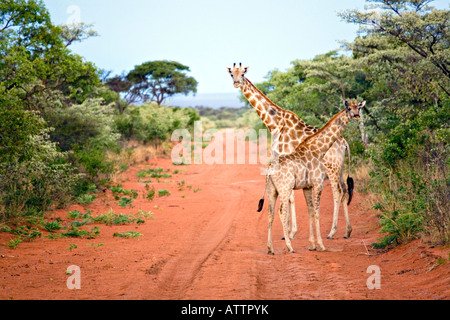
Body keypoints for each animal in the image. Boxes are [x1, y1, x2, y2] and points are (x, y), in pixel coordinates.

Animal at [229, 62, 356, 239]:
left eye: (242, 74)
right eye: (231, 74)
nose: (236, 83)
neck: (275, 125)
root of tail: (344, 143)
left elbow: (290, 198)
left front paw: (289, 233)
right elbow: (290, 197)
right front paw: (289, 232)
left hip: (332, 168)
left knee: (337, 193)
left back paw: (332, 232)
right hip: (341, 168)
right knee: (344, 191)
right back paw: (347, 231)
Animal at [264, 99, 366, 254]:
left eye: (358, 108)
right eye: (349, 108)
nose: (356, 115)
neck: (319, 149)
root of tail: (270, 169)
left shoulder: (307, 187)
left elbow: (311, 210)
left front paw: (312, 245)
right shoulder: (318, 183)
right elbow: (317, 211)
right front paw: (321, 245)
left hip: (272, 190)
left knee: (271, 213)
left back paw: (270, 248)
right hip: (285, 188)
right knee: (282, 211)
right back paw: (290, 247)